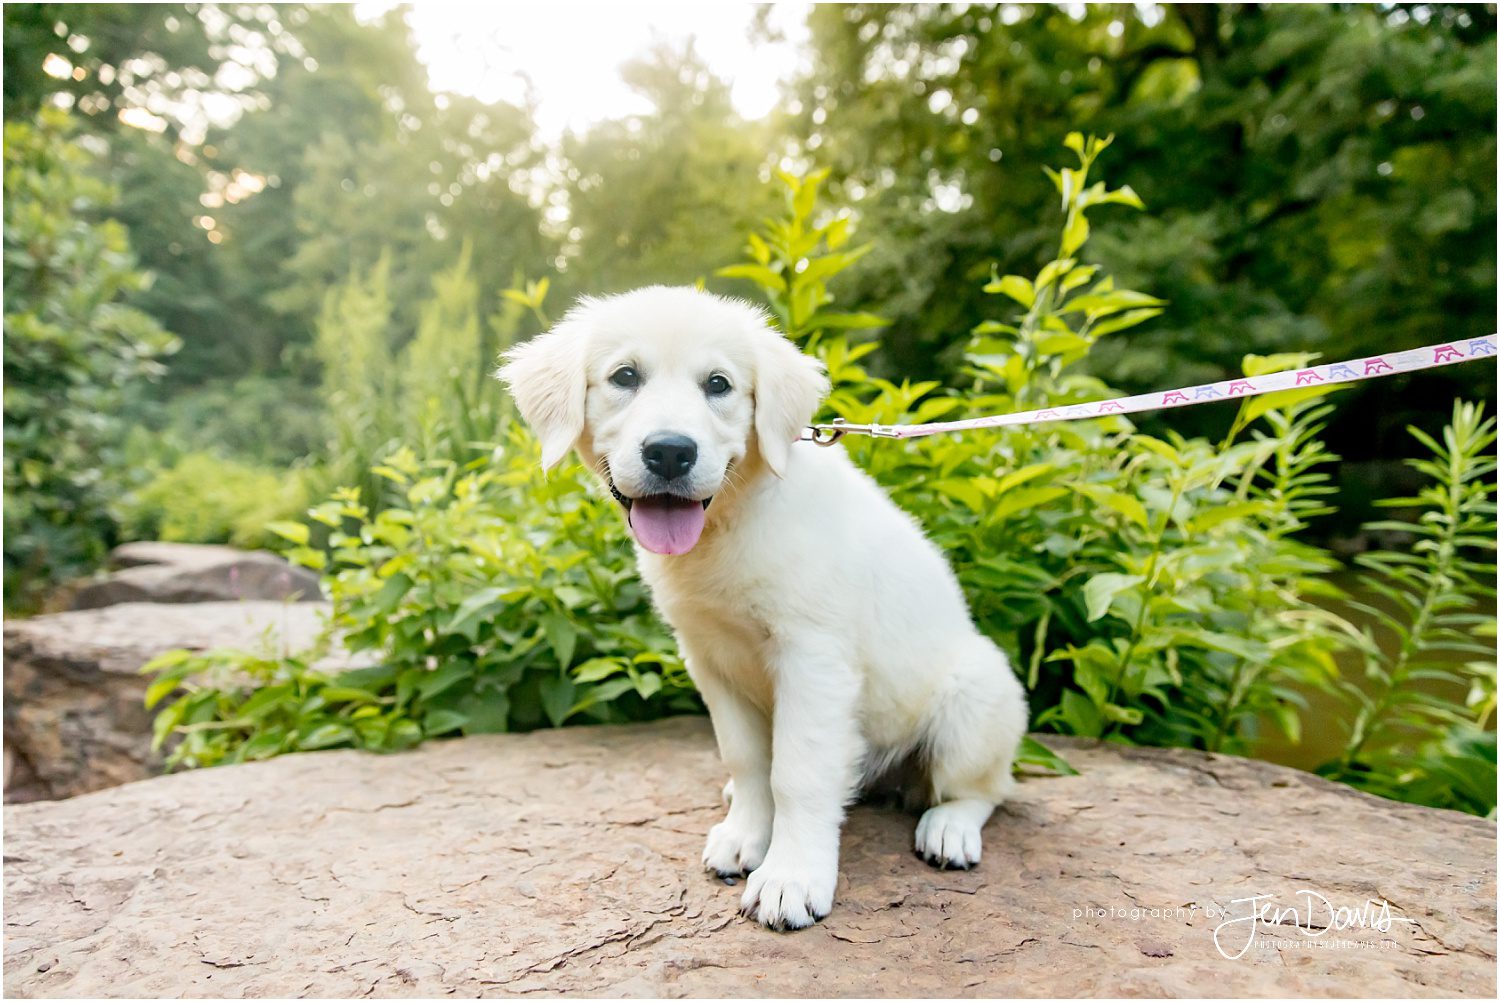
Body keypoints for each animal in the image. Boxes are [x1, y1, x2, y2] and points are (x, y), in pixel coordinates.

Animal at [498, 283, 1026, 930]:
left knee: (984, 789)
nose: (670, 452)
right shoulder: (710, 658)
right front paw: (746, 834)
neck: (729, 522)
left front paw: (791, 878)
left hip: (975, 697)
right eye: (625, 376)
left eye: (718, 384)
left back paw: (949, 828)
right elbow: (748, 759)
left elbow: (798, 772)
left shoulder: (813, 659)